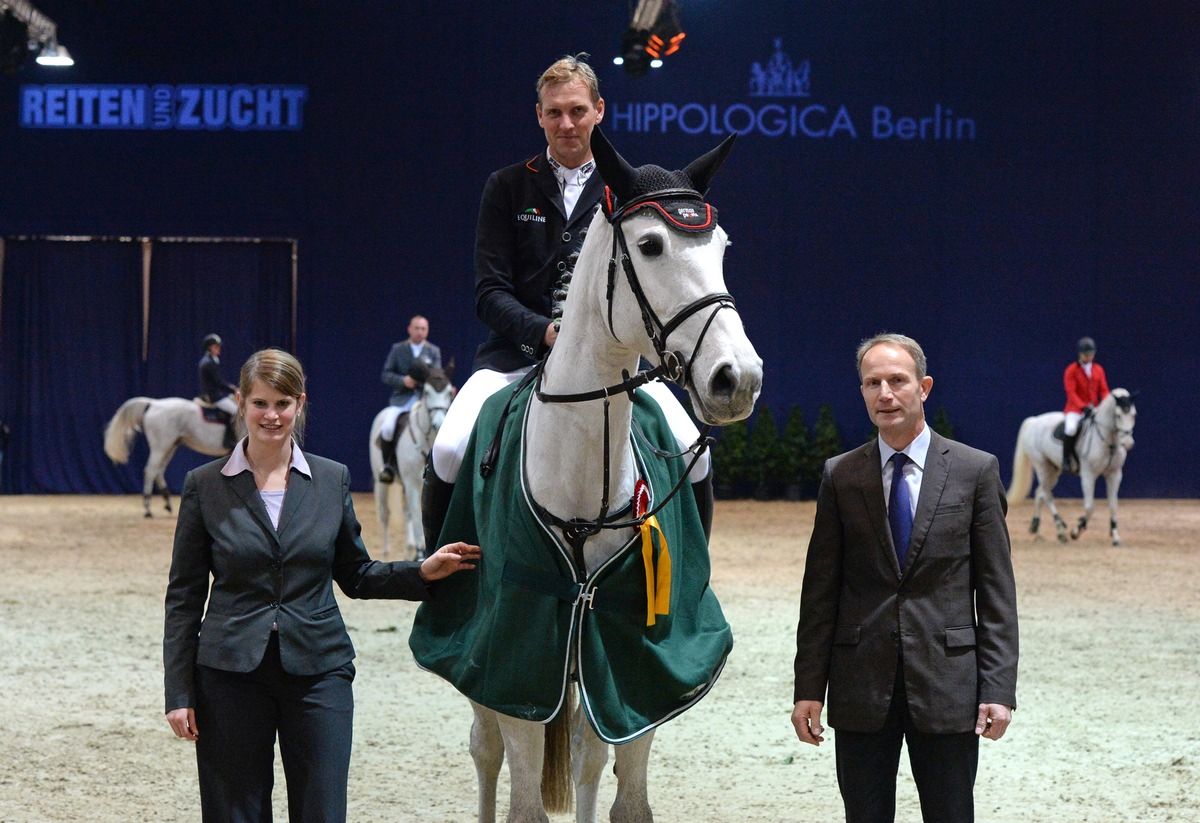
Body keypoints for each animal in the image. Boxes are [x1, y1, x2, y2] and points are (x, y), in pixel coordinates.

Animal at [105, 398, 234, 515]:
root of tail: (153, 403)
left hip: (170, 446)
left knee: (158, 471)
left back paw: (167, 503)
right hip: (160, 446)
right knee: (150, 471)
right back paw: (148, 507)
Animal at [364, 367, 453, 561]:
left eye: (449, 392)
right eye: (426, 392)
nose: (439, 423)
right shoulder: (412, 484)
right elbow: (417, 518)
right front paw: (420, 555)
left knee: (406, 514)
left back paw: (409, 547)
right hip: (381, 482)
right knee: (385, 514)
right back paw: (387, 551)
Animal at [429, 130, 758, 823]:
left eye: (721, 247)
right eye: (651, 245)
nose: (737, 378)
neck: (582, 473)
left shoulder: (638, 660)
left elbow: (621, 786)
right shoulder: (517, 660)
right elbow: (522, 796)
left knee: (584, 753)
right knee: (484, 750)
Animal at [1008, 388, 1137, 547]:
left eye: (1134, 414)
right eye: (1118, 415)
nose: (1128, 443)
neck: (1108, 441)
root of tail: (1034, 420)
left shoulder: (1115, 474)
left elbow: (1113, 506)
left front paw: (1115, 536)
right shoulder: (1088, 474)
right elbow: (1089, 506)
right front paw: (1077, 530)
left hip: (1053, 470)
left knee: (1040, 492)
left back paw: (1036, 526)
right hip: (1042, 466)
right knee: (1046, 494)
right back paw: (1061, 530)